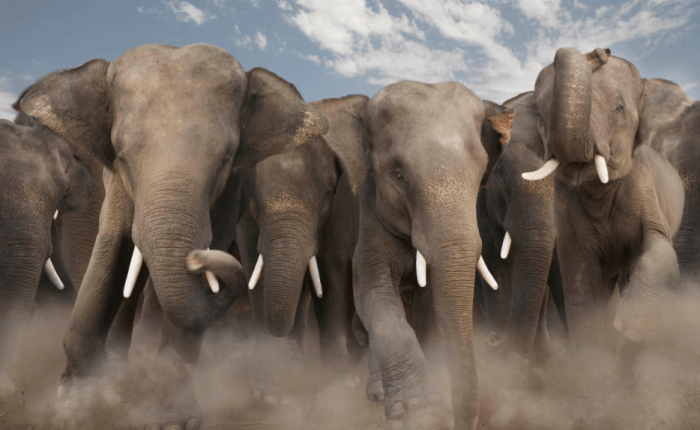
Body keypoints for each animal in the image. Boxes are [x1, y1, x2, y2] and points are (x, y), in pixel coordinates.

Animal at [13, 43, 328, 429]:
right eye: (122, 156)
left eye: (225, 159)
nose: (195, 258)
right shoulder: (116, 182)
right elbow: (113, 246)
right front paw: (77, 402)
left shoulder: (231, 189)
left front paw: (171, 421)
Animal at [233, 94, 368, 403]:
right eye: (254, 197)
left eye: (328, 192)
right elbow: (256, 272)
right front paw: (267, 393)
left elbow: (330, 271)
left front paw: (341, 385)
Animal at [345, 81, 509, 430]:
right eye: (398, 175)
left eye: (480, 177)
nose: (459, 422)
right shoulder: (369, 213)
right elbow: (371, 287)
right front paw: (415, 404)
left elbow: (429, 301)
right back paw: (378, 393)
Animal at [518, 48, 685, 367]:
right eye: (542, 118)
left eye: (619, 109)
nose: (599, 52)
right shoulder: (565, 208)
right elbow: (579, 278)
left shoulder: (643, 183)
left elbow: (659, 245)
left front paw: (628, 327)